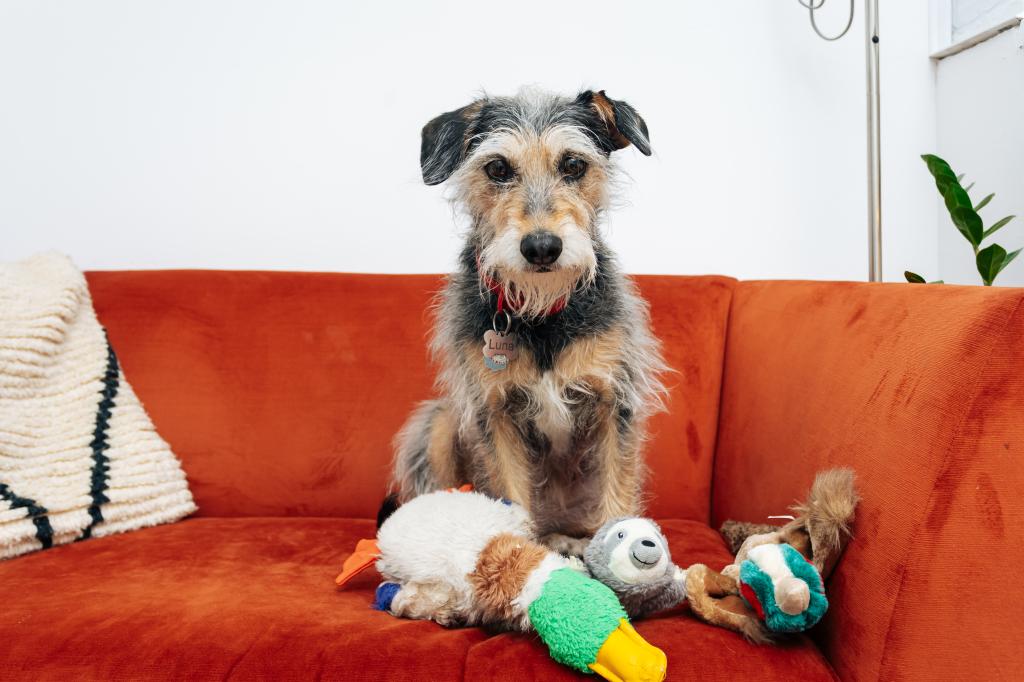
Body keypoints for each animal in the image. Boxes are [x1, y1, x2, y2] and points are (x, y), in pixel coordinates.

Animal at [387, 86, 667, 552]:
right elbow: (511, 494)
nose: (541, 247)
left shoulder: (615, 402)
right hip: (439, 423)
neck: (541, 314)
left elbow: (618, 493)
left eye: (574, 165)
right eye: (498, 168)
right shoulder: (494, 413)